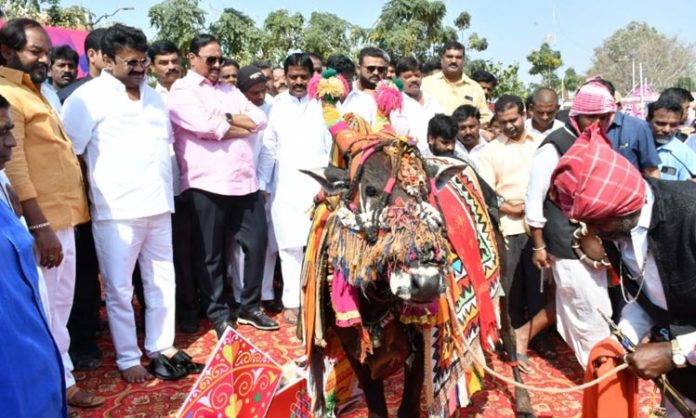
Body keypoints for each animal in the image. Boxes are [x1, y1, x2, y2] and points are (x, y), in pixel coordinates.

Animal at [296, 72, 502, 418]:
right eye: (370, 189)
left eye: (425, 191)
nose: (425, 282)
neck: (376, 301)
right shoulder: (357, 353)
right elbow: (377, 406)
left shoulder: (419, 352)